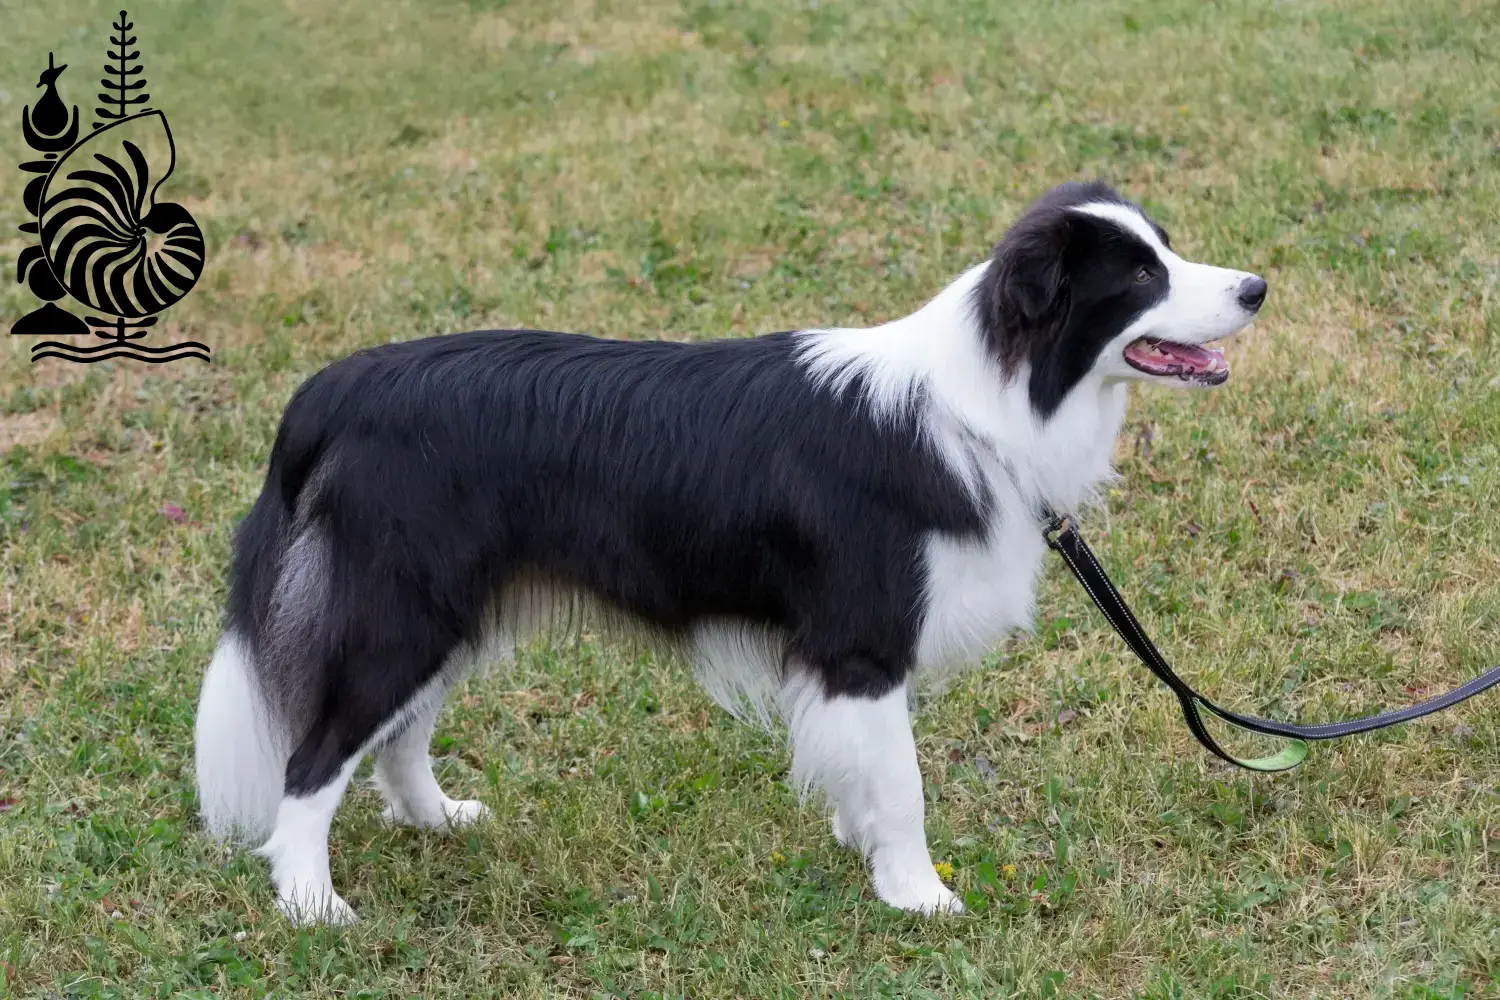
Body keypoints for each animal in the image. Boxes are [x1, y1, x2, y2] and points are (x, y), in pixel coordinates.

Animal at [190, 182, 1266, 923]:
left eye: (1167, 249)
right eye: (1139, 276)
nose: (1258, 286)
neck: (989, 400)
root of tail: (333, 391)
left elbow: (867, 768)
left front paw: (864, 845)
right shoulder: (862, 640)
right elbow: (905, 782)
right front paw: (918, 894)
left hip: (445, 609)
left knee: (398, 734)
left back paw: (436, 818)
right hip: (399, 608)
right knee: (315, 756)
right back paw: (311, 905)